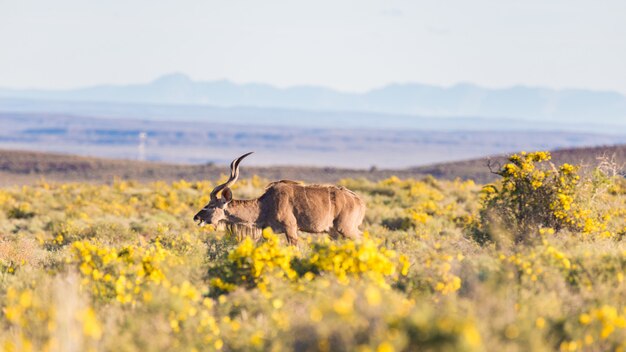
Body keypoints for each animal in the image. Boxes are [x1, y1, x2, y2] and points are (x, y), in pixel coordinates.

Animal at [193, 151, 364, 245]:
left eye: (210, 205)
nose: (196, 217)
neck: (265, 205)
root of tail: (359, 201)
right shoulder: (268, 232)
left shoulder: (291, 229)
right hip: (334, 233)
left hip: (346, 229)